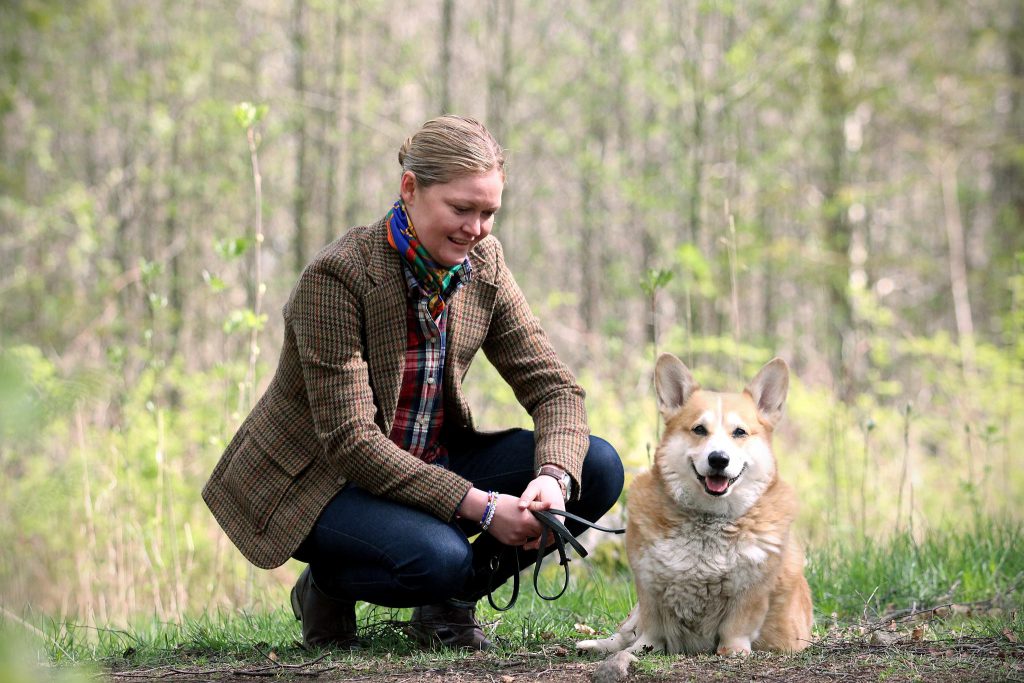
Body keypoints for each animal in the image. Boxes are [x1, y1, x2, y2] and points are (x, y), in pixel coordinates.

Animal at [581, 352, 811, 655]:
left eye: (739, 432)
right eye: (699, 430)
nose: (719, 459)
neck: (708, 519)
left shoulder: (752, 591)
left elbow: (737, 625)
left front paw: (733, 652)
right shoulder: (648, 586)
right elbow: (651, 630)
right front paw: (640, 651)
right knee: (624, 633)